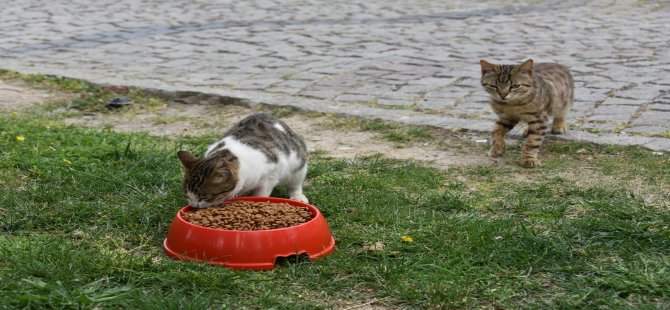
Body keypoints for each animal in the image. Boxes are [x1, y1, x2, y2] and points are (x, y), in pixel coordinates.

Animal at [177, 112, 312, 208]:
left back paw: (297, 196)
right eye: (186, 195)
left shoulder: (271, 175)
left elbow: (260, 194)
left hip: (298, 166)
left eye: (203, 197)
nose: (193, 206)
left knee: (294, 184)